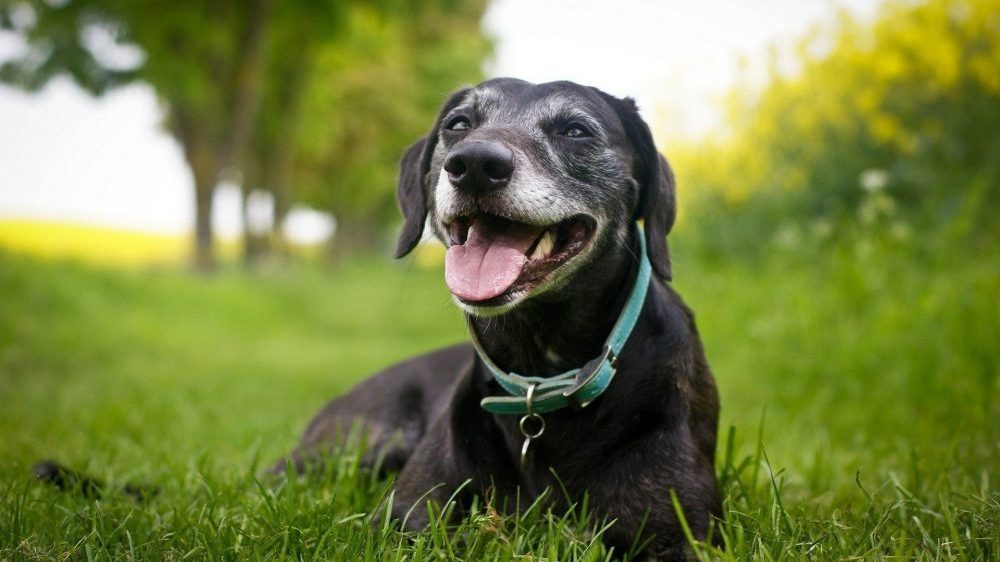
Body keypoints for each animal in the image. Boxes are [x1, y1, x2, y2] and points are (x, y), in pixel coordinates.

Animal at [274, 77, 724, 556]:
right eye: (458, 124)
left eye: (576, 131)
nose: (474, 163)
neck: (540, 372)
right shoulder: (400, 522)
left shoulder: (679, 534)